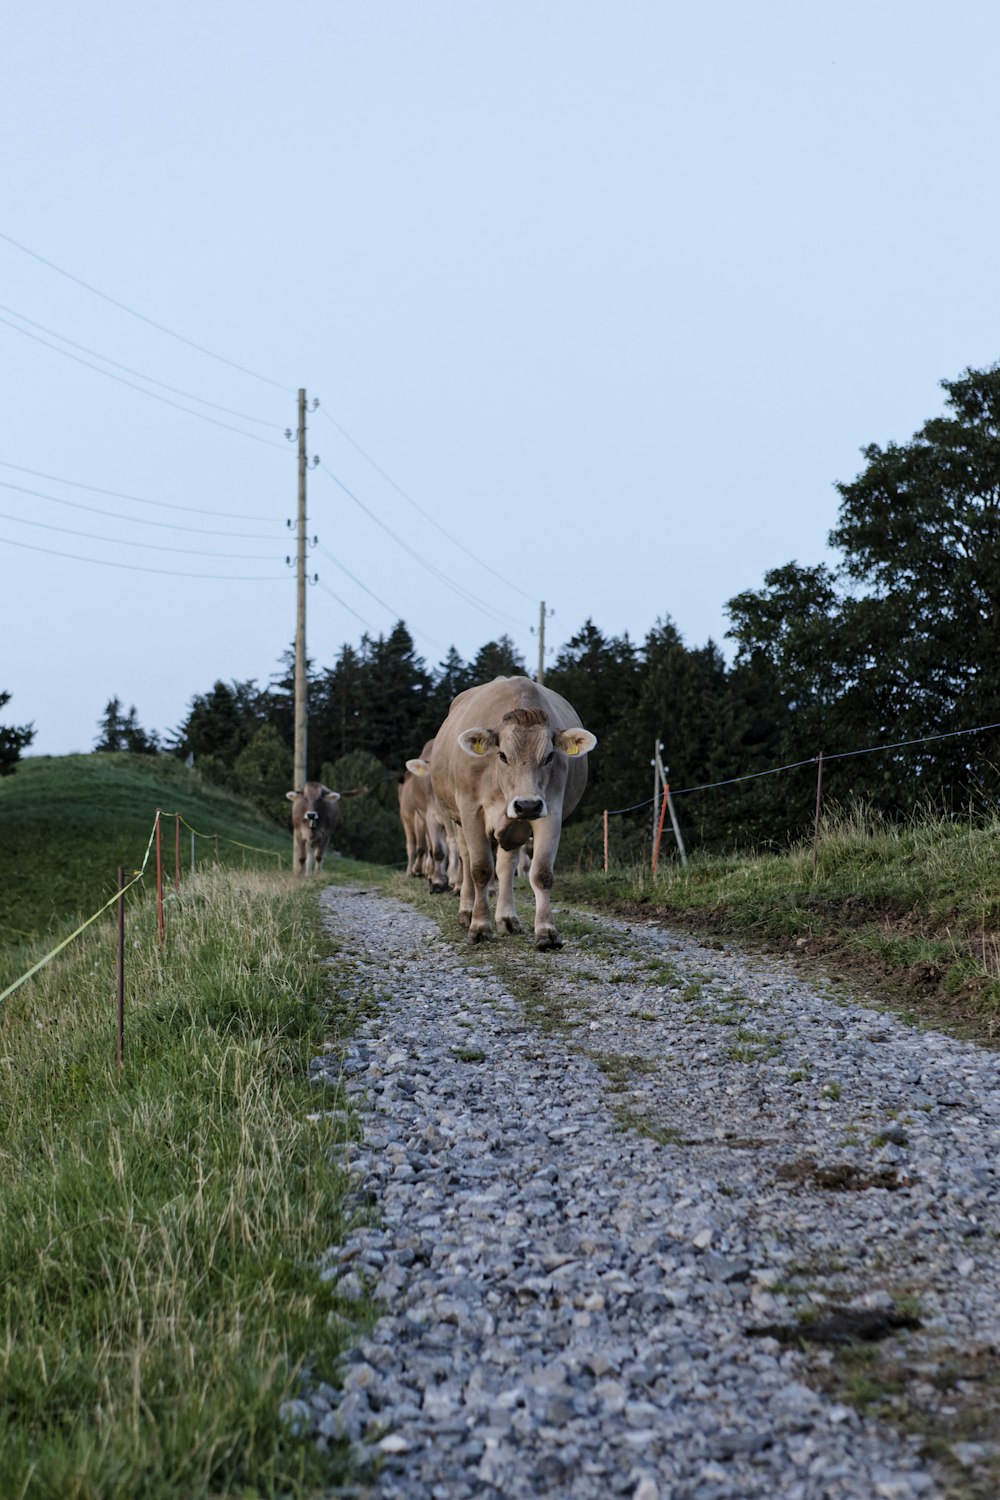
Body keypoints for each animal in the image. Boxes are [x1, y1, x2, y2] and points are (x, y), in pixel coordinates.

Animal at [428, 681, 593, 948]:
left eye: (549, 756)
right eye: (503, 755)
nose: (527, 805)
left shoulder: (550, 811)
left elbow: (541, 873)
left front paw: (546, 931)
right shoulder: (471, 811)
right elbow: (481, 869)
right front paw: (480, 926)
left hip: (516, 827)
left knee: (506, 865)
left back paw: (506, 918)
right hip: (457, 820)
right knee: (466, 859)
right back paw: (466, 911)